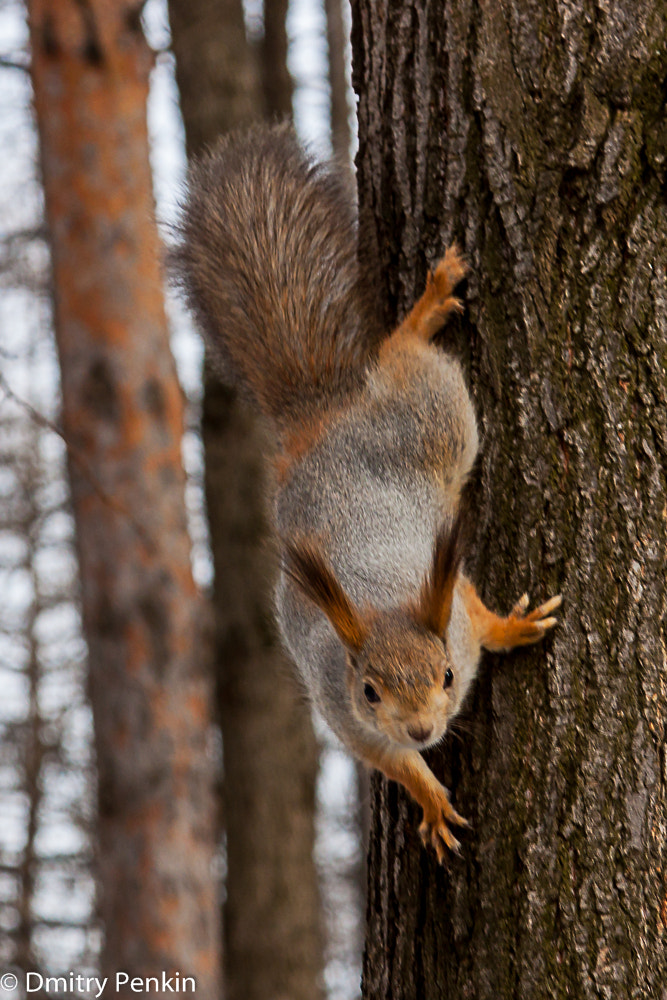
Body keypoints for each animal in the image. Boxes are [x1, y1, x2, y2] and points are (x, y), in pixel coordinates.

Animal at [176, 122, 561, 861]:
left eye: (447, 676)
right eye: (371, 691)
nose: (422, 731)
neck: (380, 606)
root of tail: (320, 418)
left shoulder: (453, 611)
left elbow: (482, 618)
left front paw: (515, 626)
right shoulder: (340, 709)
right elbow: (388, 761)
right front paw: (430, 797)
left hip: (434, 422)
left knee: (402, 357)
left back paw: (422, 312)